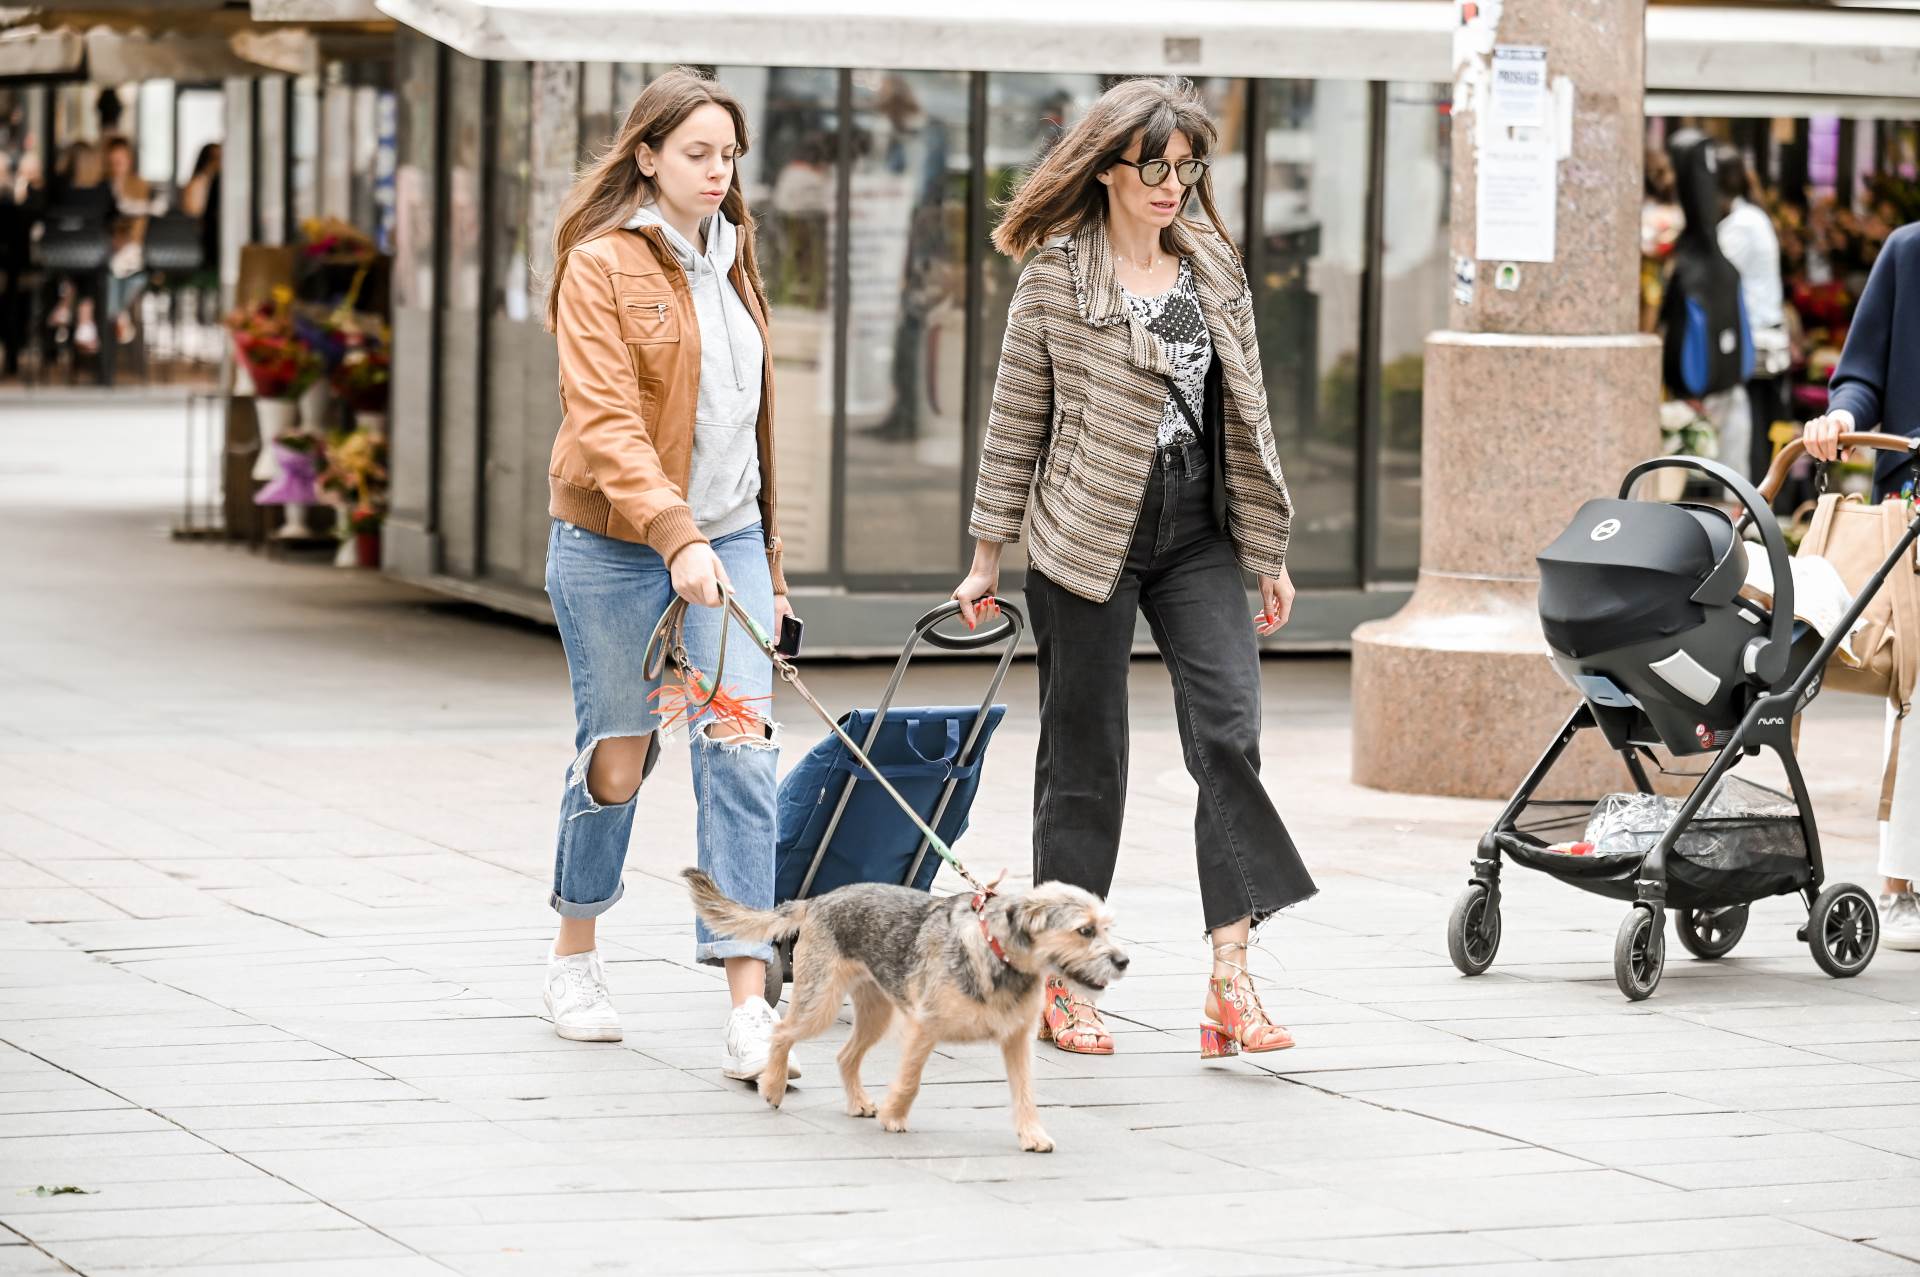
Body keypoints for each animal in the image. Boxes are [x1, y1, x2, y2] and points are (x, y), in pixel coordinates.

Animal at [683, 867, 1121, 1152]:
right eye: (1084, 931)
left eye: (1106, 928)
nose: (1123, 960)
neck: (997, 955)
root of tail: (816, 901)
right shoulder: (924, 1028)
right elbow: (910, 1080)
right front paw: (894, 1115)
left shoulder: (1016, 1042)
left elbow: (1026, 1092)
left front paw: (1032, 1134)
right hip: (819, 1005)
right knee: (781, 1034)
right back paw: (772, 1086)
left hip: (876, 1014)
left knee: (846, 1056)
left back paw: (857, 1102)